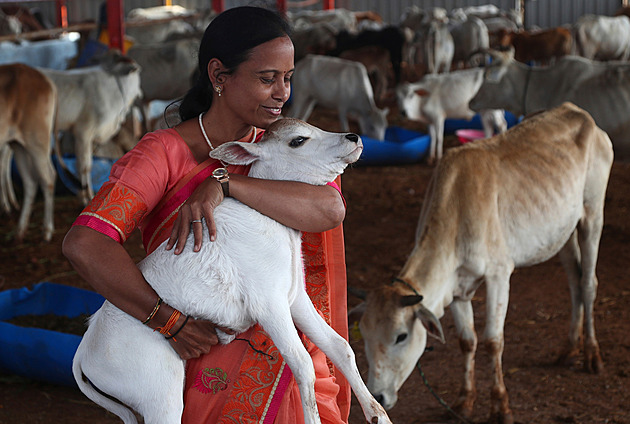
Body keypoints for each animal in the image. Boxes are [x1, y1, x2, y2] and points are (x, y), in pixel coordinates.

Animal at [0, 63, 57, 242]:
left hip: (37, 139)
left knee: (48, 178)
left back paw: (47, 231)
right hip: (18, 145)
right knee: (30, 182)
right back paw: (20, 230)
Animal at [354, 102, 616, 424]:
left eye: (401, 337)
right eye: (364, 335)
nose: (377, 396)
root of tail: (578, 111)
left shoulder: (499, 275)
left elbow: (493, 340)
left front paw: (500, 406)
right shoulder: (457, 288)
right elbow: (467, 341)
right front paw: (464, 401)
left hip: (592, 214)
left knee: (589, 283)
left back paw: (592, 355)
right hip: (562, 233)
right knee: (575, 282)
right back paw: (569, 349)